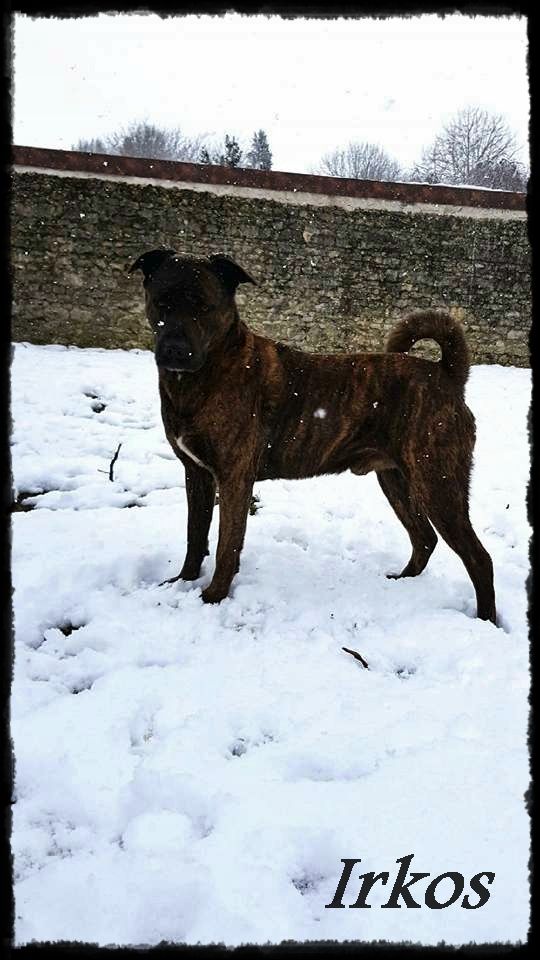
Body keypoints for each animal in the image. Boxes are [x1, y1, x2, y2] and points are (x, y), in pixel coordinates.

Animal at [129, 249, 496, 624]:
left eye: (203, 306)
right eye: (161, 302)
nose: (175, 349)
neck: (205, 374)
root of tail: (446, 375)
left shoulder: (234, 478)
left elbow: (225, 545)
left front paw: (213, 597)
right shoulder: (196, 473)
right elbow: (195, 534)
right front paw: (182, 582)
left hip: (437, 482)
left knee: (478, 557)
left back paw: (485, 620)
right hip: (397, 479)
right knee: (424, 538)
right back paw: (402, 582)